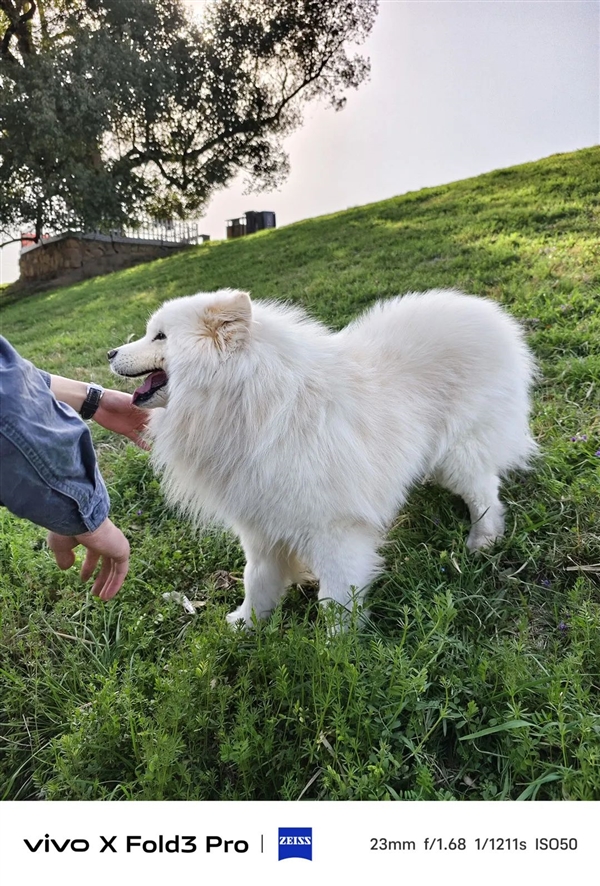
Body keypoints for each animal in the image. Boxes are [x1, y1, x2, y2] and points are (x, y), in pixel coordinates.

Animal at [106, 288, 536, 628]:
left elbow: (335, 600)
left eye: (160, 336)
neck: (248, 401)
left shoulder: (335, 531)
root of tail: (488, 315)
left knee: (485, 494)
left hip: (459, 455)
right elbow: (257, 579)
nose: (110, 352)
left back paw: (482, 539)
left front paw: (335, 655)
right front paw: (247, 625)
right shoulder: (260, 526)